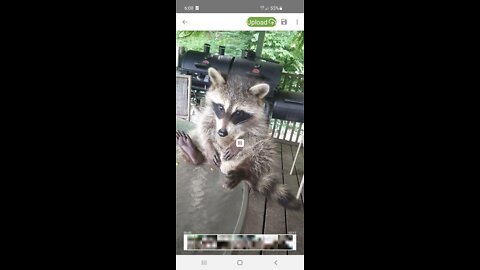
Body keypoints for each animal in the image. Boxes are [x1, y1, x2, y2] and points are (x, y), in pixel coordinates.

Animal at [176, 66, 302, 210]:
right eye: (221, 107)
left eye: (238, 113)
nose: (222, 133)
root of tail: (224, 166)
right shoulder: (211, 113)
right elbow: (205, 125)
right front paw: (208, 145)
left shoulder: (259, 122)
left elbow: (255, 136)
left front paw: (236, 145)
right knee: (197, 140)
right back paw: (193, 153)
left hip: (243, 159)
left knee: (263, 150)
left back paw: (244, 171)